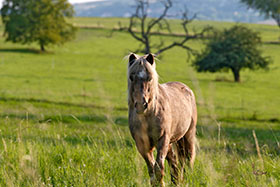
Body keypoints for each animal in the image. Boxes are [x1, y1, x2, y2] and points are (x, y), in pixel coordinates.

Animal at [127, 53, 197, 186]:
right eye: (131, 77)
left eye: (150, 78)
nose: (141, 105)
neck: (148, 116)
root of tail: (186, 88)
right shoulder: (142, 144)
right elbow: (152, 169)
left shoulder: (162, 140)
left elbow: (159, 168)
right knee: (174, 162)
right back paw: (176, 181)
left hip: (187, 135)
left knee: (187, 158)